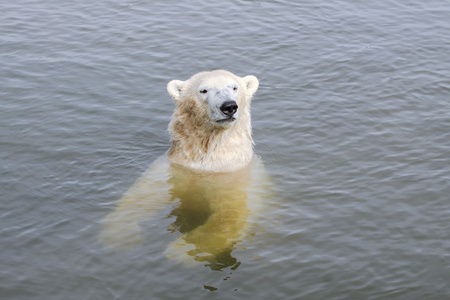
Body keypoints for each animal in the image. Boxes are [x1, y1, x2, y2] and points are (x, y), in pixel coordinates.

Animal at [101, 70, 270, 270]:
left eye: (234, 87)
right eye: (203, 90)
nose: (229, 106)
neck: (208, 161)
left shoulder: (234, 178)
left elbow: (228, 216)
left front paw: (180, 250)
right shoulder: (177, 166)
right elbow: (143, 195)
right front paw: (121, 234)